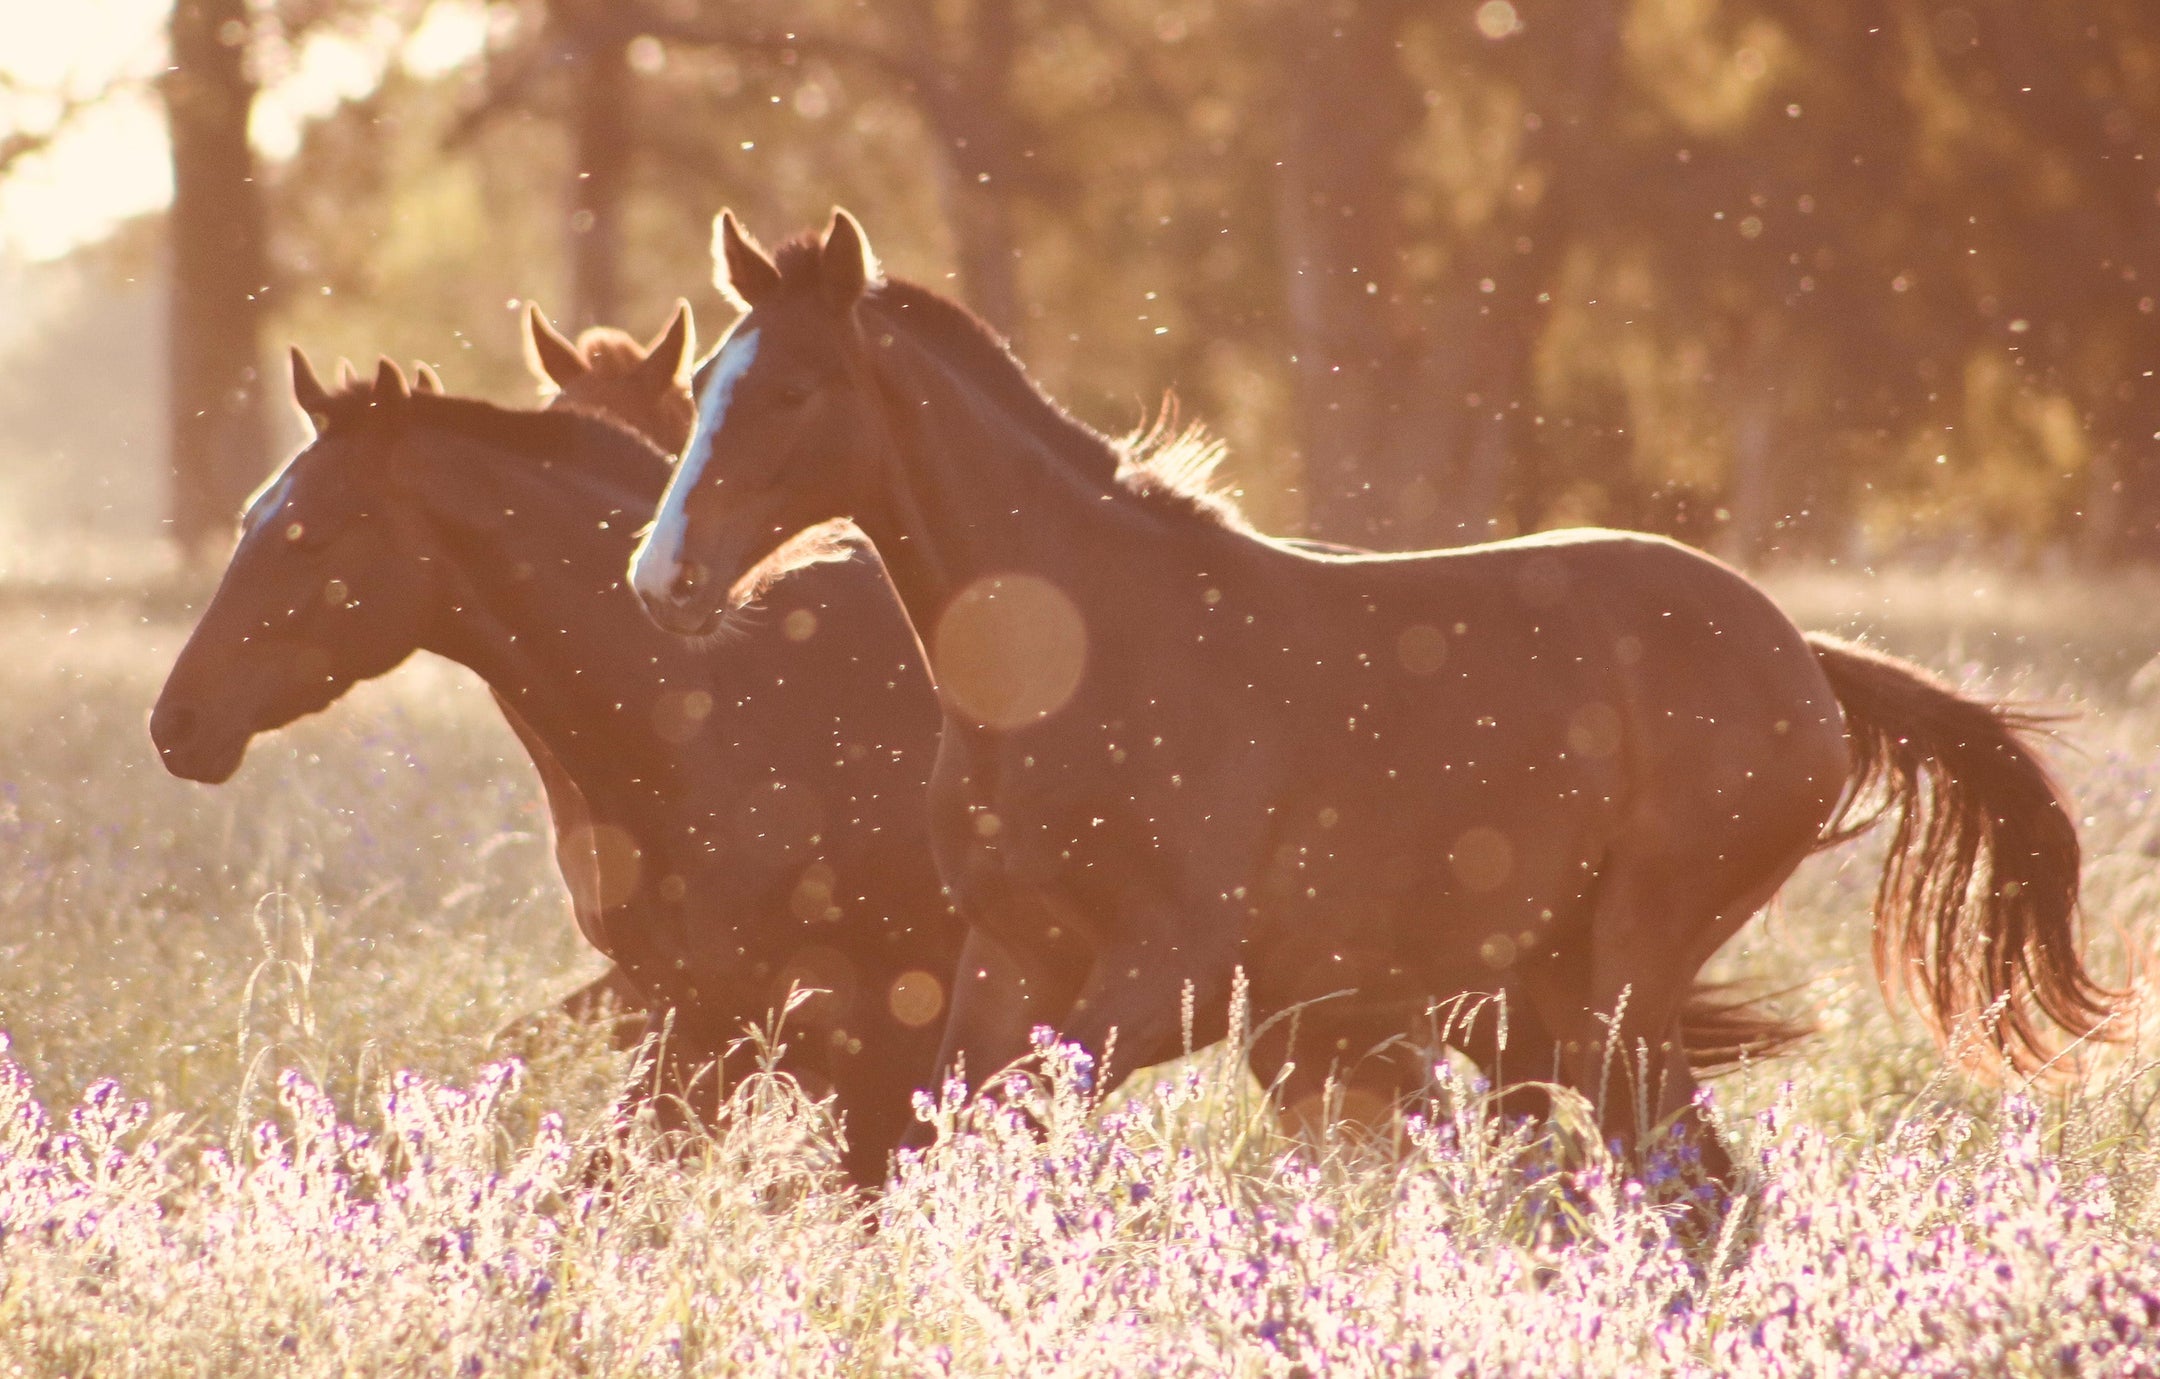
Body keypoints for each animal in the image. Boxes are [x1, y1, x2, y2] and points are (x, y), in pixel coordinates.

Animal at [626, 208, 2119, 1175]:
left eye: (796, 390)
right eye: (705, 384)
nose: (661, 575)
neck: (1078, 658)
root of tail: (1804, 657)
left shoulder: (1175, 976)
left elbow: (1015, 1131)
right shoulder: (1012, 958)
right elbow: (940, 1135)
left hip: (1625, 977)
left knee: (1688, 1183)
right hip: (1549, 991)